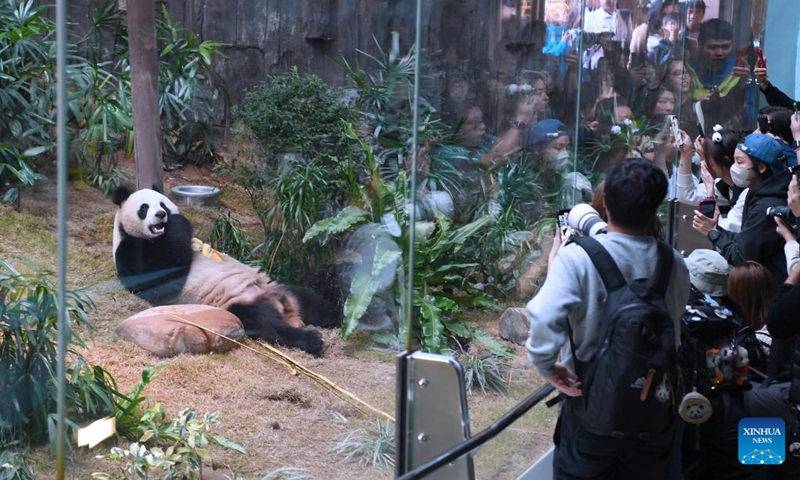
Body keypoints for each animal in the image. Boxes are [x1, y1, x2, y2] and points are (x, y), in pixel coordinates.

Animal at [111, 186, 340, 354]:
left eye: (162, 205)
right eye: (144, 208)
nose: (160, 215)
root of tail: (287, 308)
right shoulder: (129, 250)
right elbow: (158, 279)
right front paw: (178, 224)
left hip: (283, 289)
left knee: (311, 301)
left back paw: (341, 316)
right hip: (239, 304)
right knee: (265, 323)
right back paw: (312, 339)